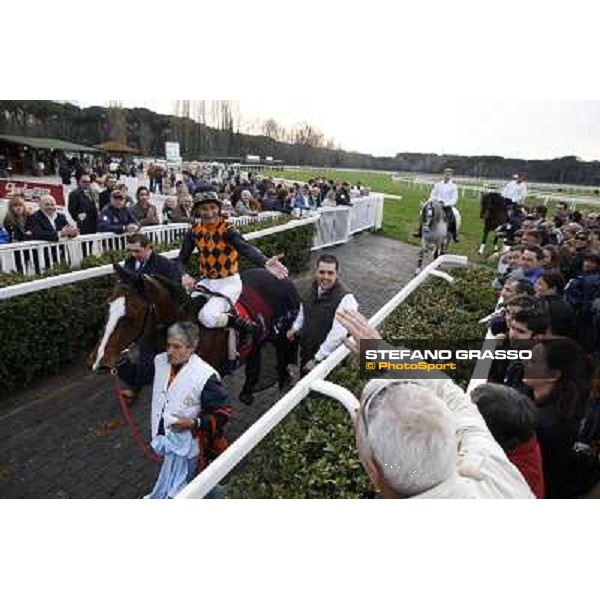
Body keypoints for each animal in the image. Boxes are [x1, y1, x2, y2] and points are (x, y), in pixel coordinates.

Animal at [88, 266, 300, 404]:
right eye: (107, 307)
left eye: (130, 316)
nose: (98, 360)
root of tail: (277, 277)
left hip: (281, 333)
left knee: (283, 354)